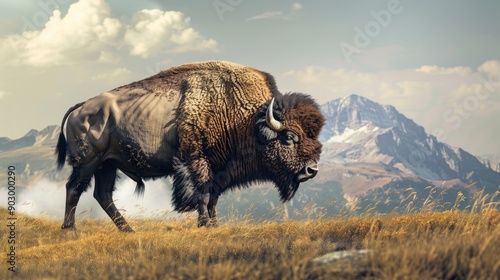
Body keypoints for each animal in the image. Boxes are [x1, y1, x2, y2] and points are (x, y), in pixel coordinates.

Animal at [55, 60, 324, 231]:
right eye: (288, 137)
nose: (311, 170)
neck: (244, 118)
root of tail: (80, 107)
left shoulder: (218, 170)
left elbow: (212, 198)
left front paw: (214, 224)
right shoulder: (197, 161)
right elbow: (202, 195)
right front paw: (204, 224)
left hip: (108, 165)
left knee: (103, 195)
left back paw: (128, 230)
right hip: (87, 162)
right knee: (74, 189)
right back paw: (70, 230)